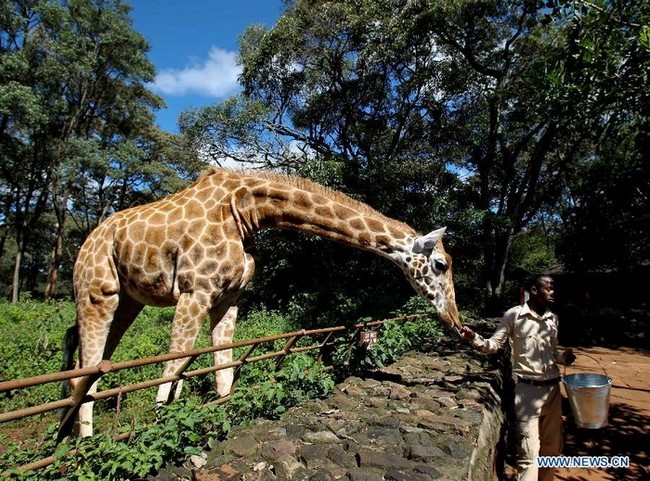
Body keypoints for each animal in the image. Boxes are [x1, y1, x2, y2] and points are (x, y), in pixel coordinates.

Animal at [58, 167, 458, 436]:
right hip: (97, 291)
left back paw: (68, 436)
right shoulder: (194, 290)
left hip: (129, 300)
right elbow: (173, 367)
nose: (455, 321)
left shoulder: (229, 296)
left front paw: (221, 420)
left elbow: (222, 366)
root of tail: (86, 240)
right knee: (88, 364)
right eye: (441, 264)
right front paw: (160, 430)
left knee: (86, 363)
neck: (249, 212)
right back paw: (83, 446)